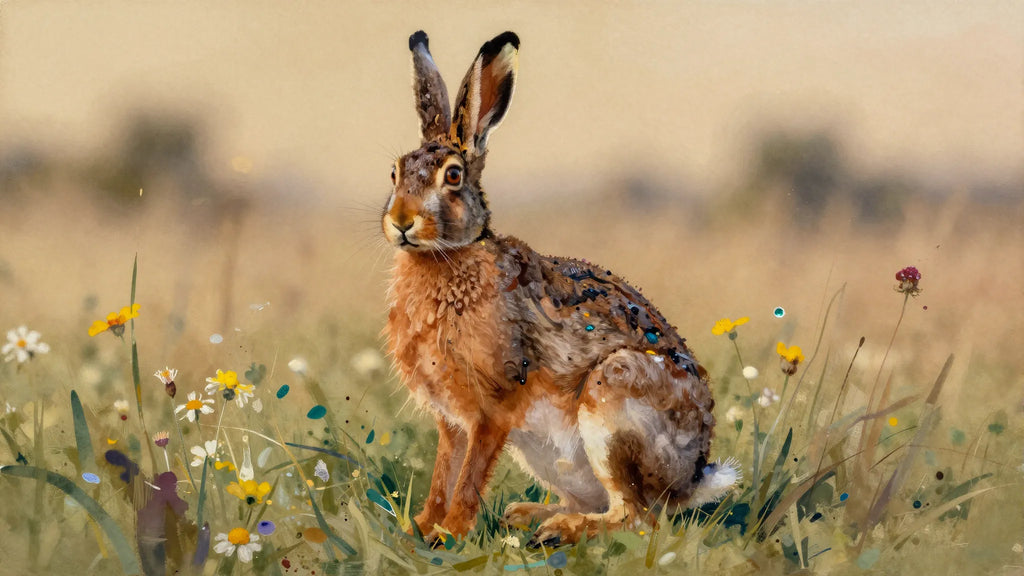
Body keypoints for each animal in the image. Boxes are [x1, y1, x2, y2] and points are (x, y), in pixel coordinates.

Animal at [382, 30, 739, 547]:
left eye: (452, 175)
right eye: (394, 172)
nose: (402, 222)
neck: (449, 258)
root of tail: (692, 478)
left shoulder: (493, 408)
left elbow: (469, 476)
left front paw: (450, 534)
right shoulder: (451, 420)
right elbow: (443, 472)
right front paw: (421, 527)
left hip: (612, 403)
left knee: (637, 517)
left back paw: (556, 530)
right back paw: (526, 515)